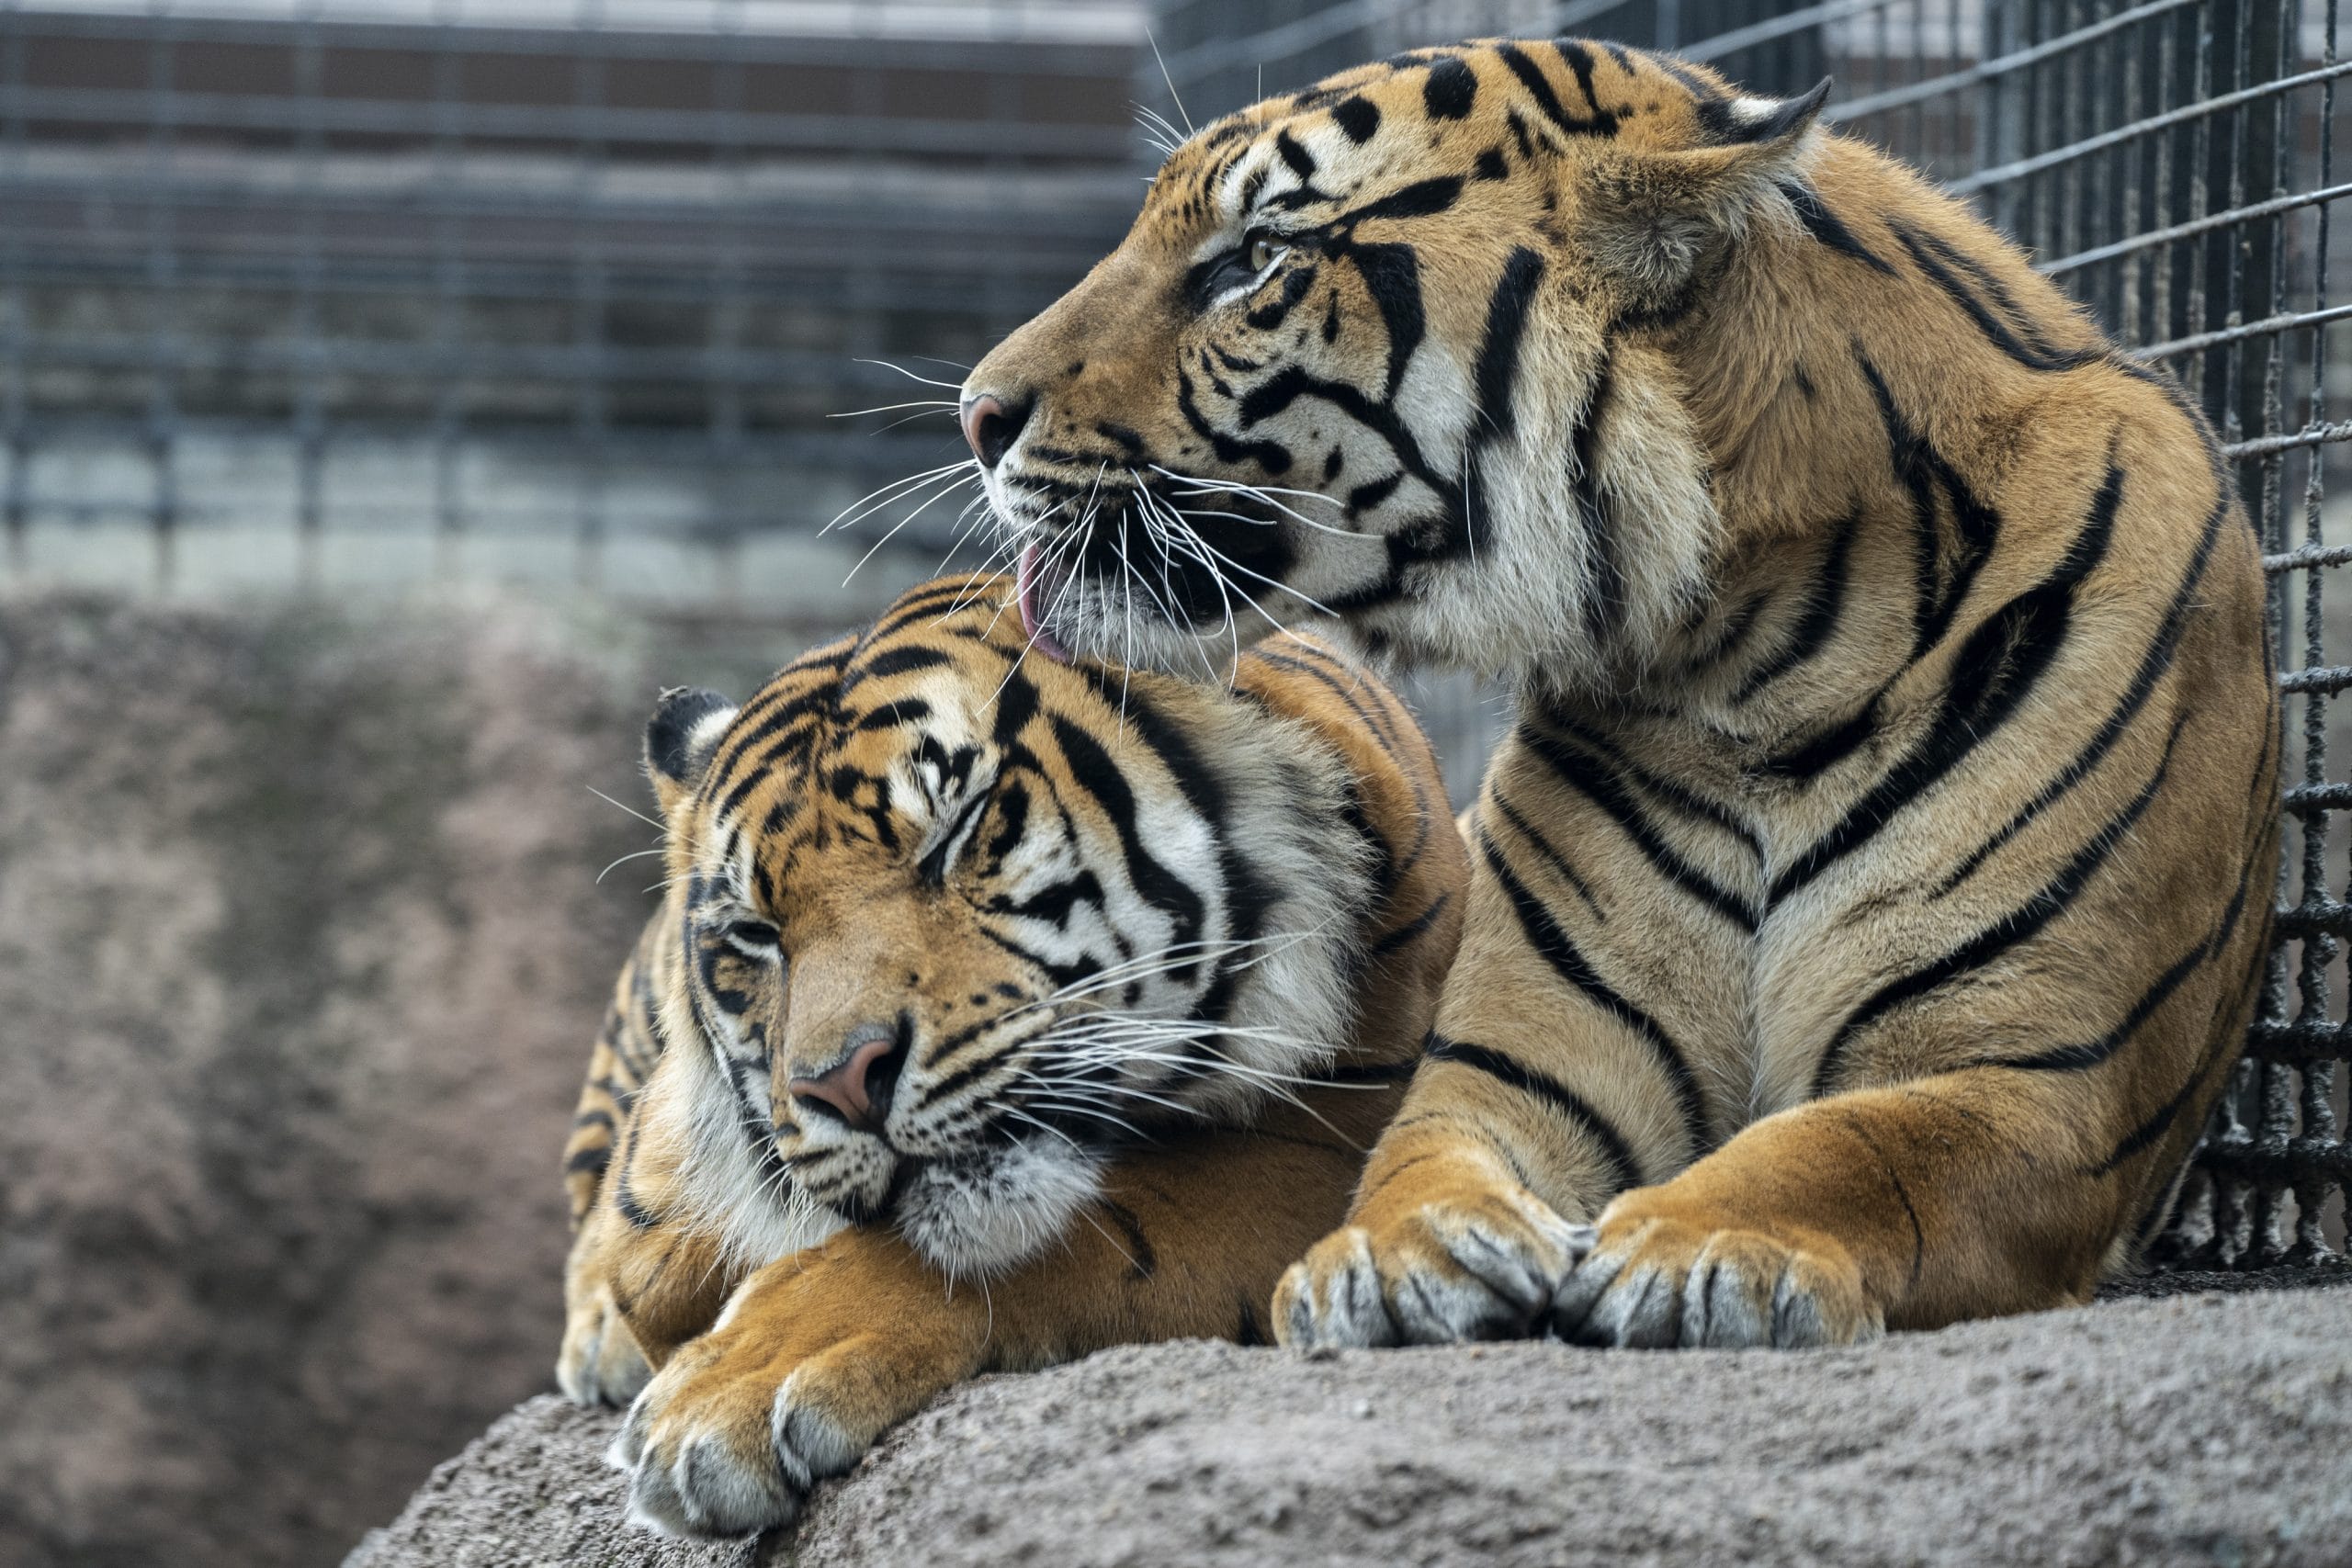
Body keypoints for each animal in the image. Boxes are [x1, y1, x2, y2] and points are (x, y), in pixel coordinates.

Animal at [556, 572, 1465, 1535]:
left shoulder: (1338, 1136)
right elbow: (652, 1262)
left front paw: (730, 1390)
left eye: (955, 834)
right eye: (754, 935)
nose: (843, 1083)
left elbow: (1098, 1226)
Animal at [955, 38, 2279, 1351]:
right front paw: (1392, 1259)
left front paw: (1698, 1241)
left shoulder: (2035, 1074)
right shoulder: (1518, 1061)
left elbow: (1852, 1143)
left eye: (1254, 259)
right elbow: (1422, 1157)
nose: (975, 411)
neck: (1759, 667)